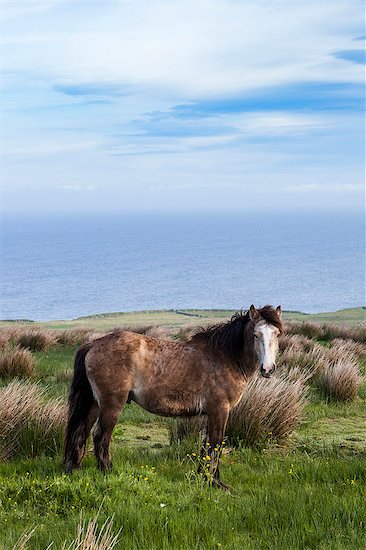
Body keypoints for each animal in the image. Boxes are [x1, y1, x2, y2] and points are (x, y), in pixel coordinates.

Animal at [64, 304, 284, 490]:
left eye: (277, 334)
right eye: (255, 334)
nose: (267, 369)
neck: (224, 357)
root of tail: (93, 344)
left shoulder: (210, 413)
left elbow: (206, 446)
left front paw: (202, 476)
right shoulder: (220, 410)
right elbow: (216, 444)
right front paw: (215, 482)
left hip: (94, 404)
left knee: (80, 432)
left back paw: (74, 469)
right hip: (111, 405)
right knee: (100, 436)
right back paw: (107, 471)